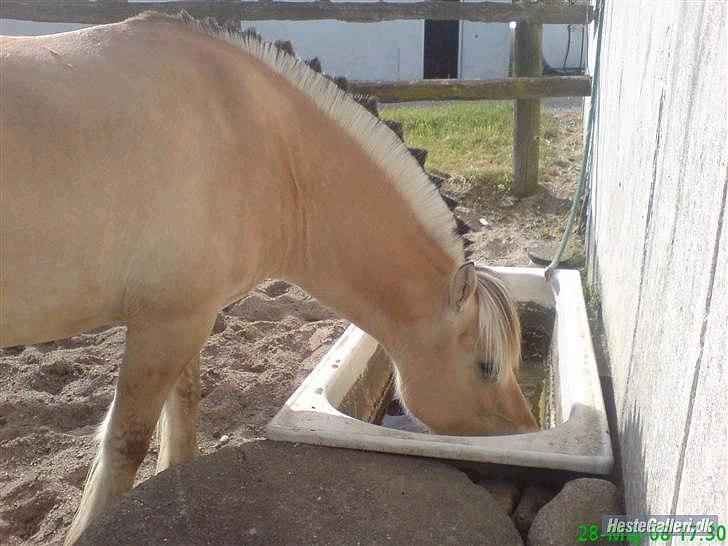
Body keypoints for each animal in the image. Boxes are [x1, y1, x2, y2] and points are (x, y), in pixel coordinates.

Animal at [0, 11, 536, 540]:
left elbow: (184, 405)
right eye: (487, 366)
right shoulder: (164, 324)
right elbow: (126, 442)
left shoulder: (189, 316)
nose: (526, 432)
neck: (260, 140)